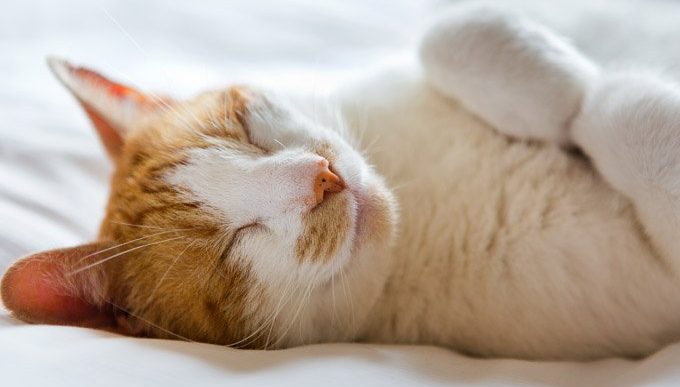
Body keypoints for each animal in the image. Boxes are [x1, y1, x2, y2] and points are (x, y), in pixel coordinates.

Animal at [3, 3, 680, 360]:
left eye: (243, 126)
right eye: (231, 248)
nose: (322, 179)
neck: (419, 201)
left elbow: (451, 31)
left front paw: (563, 89)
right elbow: (636, 129)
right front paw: (595, 104)